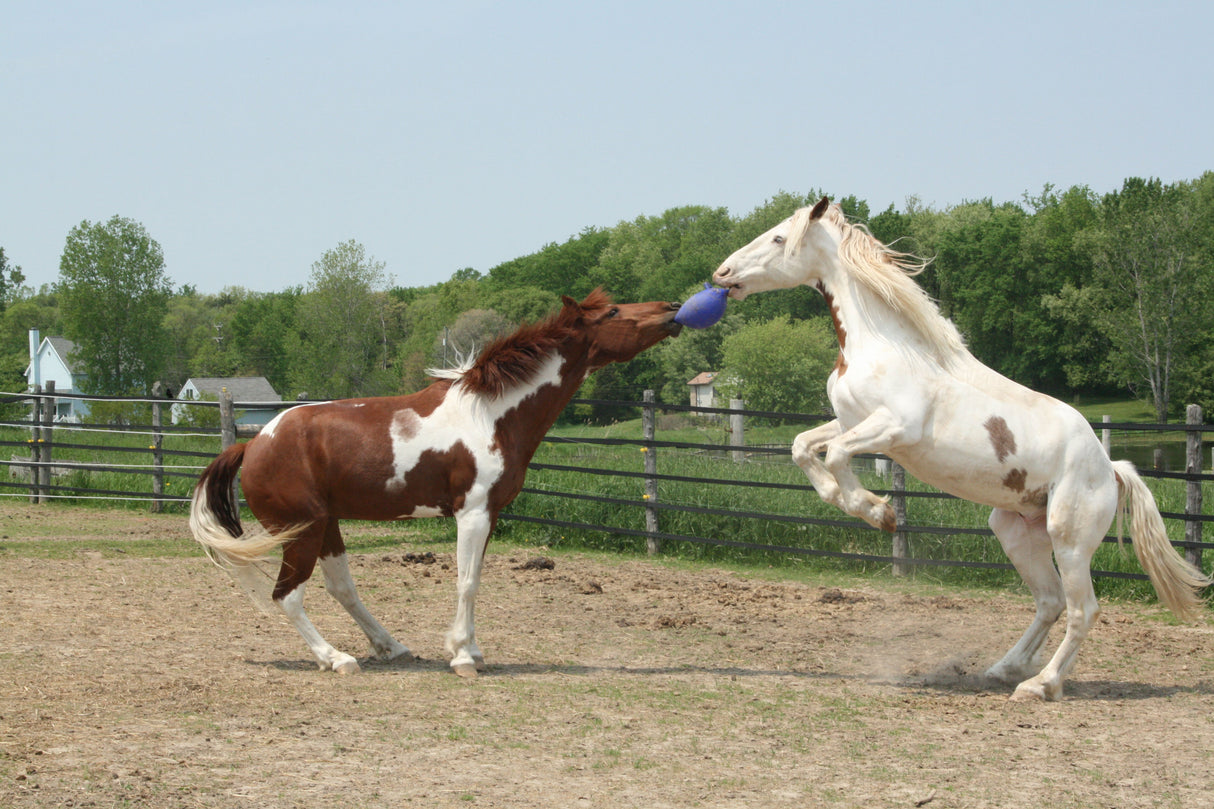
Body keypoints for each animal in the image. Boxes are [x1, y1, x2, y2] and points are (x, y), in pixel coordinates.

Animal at [191, 290, 684, 675]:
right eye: (614, 312)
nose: (673, 308)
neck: (491, 416)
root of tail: (253, 444)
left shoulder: (490, 514)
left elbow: (475, 577)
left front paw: (472, 650)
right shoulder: (472, 512)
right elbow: (466, 582)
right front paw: (463, 657)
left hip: (325, 525)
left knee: (341, 589)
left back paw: (391, 647)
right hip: (301, 530)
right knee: (288, 595)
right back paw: (337, 659)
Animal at [713, 196, 1209, 699]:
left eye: (779, 237)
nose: (722, 272)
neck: (883, 345)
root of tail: (1110, 468)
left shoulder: (895, 428)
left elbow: (834, 455)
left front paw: (880, 513)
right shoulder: (851, 421)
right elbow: (802, 446)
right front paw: (858, 503)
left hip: (1069, 537)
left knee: (1081, 610)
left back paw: (1040, 685)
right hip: (1016, 531)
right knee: (1049, 602)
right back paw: (1004, 669)